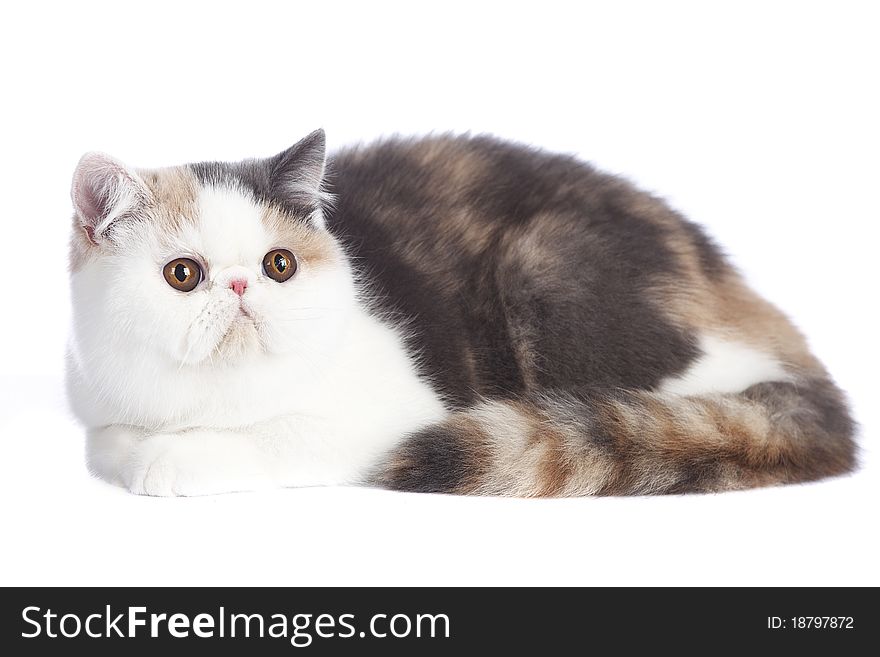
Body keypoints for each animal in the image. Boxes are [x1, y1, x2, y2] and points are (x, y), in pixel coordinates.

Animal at [67, 131, 852, 494]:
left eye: (278, 265)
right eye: (184, 275)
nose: (238, 288)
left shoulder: (396, 409)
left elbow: (275, 434)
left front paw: (173, 457)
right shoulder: (99, 403)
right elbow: (108, 442)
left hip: (548, 268)